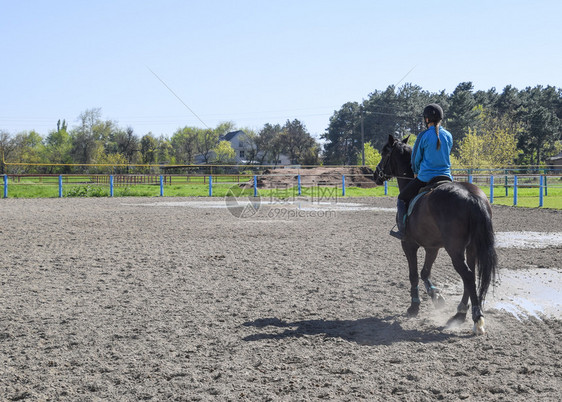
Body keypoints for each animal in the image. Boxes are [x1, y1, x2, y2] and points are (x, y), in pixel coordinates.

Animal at [374, 135, 496, 336]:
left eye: (384, 153)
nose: (376, 174)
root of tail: (472, 196)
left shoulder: (409, 244)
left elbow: (414, 274)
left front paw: (414, 307)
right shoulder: (432, 247)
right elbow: (425, 272)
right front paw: (436, 296)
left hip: (455, 250)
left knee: (468, 275)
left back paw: (476, 319)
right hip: (471, 248)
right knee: (470, 275)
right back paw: (460, 313)